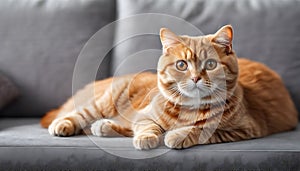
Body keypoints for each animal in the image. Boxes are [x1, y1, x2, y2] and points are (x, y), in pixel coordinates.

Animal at [41, 24, 298, 149]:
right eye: (182, 65)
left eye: (211, 64)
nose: (195, 78)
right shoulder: (145, 116)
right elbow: (147, 126)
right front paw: (149, 138)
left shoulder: (246, 129)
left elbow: (203, 131)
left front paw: (177, 136)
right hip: (104, 102)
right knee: (80, 113)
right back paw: (64, 124)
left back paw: (104, 127)